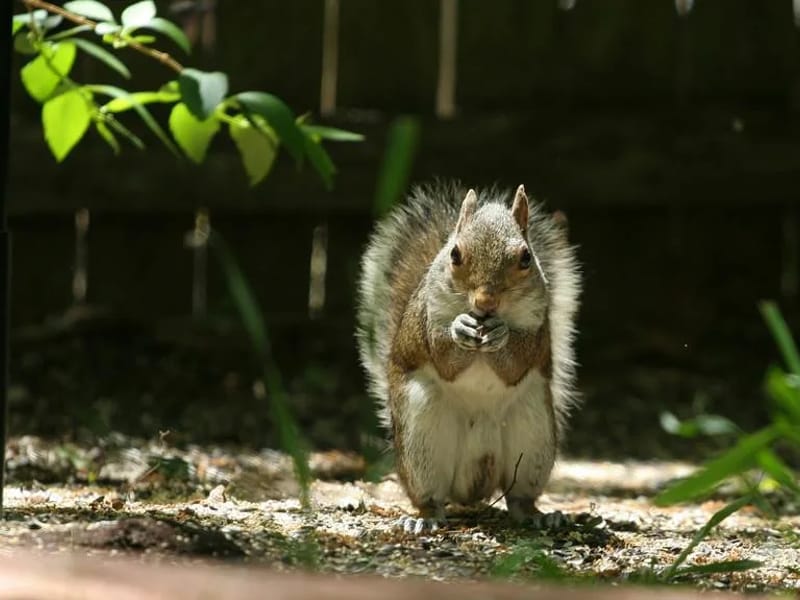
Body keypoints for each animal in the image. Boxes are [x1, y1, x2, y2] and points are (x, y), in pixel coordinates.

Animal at [356, 181, 581, 533]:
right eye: (455, 254)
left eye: (526, 257)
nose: (486, 301)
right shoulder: (428, 317)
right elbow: (443, 356)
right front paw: (459, 329)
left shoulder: (537, 329)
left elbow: (517, 363)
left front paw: (502, 335)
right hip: (421, 436)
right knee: (429, 495)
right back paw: (425, 518)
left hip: (534, 436)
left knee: (519, 496)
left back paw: (540, 515)